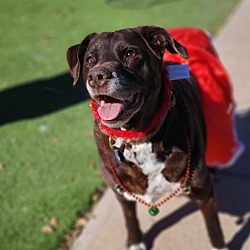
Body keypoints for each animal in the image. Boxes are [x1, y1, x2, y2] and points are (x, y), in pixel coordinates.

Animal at [66, 26, 229, 249]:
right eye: (90, 59)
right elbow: (130, 218)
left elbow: (215, 232)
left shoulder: (205, 193)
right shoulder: (121, 192)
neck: (138, 138)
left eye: (130, 54)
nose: (96, 76)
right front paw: (135, 242)